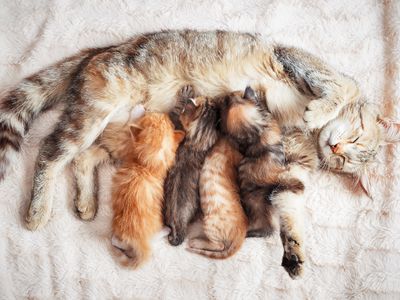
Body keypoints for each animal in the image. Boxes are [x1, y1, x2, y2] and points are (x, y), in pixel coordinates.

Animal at [0, 29, 396, 232]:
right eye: (357, 138)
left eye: (346, 161)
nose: (336, 148)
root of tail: (99, 51)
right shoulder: (295, 60)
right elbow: (338, 87)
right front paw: (320, 110)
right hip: (92, 113)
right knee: (50, 152)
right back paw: (38, 210)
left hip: (117, 130)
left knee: (82, 158)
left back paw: (85, 202)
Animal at [110, 112, 184, 268]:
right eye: (165, 120)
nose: (161, 113)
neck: (148, 165)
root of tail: (139, 241)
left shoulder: (128, 150)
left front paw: (138, 110)